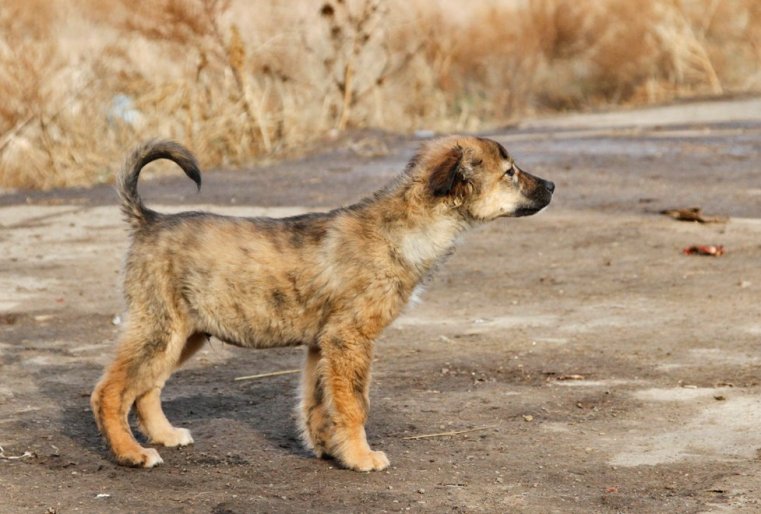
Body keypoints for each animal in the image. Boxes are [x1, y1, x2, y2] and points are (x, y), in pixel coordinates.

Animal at [90, 135, 552, 468]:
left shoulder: (322, 344)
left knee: (146, 388)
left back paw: (165, 436)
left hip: (184, 333)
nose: (552, 185)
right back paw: (131, 453)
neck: (405, 229)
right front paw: (362, 457)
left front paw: (330, 449)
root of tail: (148, 220)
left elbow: (318, 403)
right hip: (159, 327)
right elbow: (354, 404)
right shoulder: (351, 338)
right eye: (510, 173)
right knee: (110, 392)